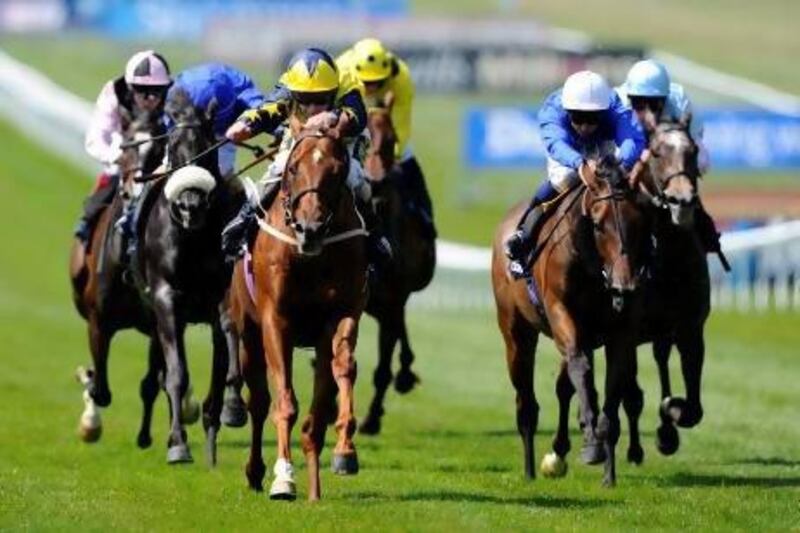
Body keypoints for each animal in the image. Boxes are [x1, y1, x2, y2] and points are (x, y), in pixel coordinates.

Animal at [230, 128, 370, 498]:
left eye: (337, 170)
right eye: (293, 169)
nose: (311, 229)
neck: (309, 258)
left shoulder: (341, 313)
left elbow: (341, 370)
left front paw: (345, 451)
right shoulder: (276, 321)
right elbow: (284, 403)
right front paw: (283, 478)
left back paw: (315, 488)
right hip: (248, 334)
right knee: (259, 402)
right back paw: (254, 470)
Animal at [490, 156, 652, 484]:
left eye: (639, 223)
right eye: (599, 225)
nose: (625, 285)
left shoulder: (621, 331)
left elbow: (611, 389)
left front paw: (608, 474)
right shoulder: (561, 311)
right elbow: (581, 367)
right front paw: (590, 443)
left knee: (564, 386)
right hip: (516, 333)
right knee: (526, 402)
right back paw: (530, 469)